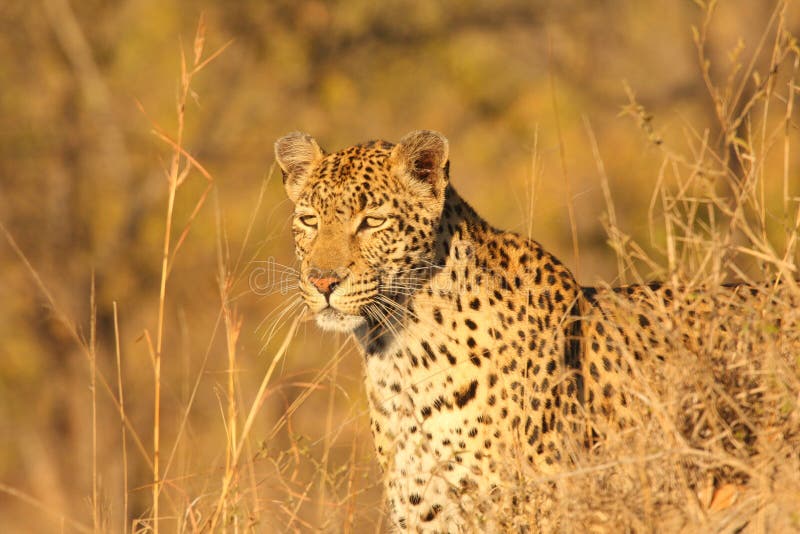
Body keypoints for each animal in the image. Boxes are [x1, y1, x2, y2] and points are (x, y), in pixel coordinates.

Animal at [274, 131, 792, 534]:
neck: (401, 354)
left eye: (373, 221)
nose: (322, 281)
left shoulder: (529, 507)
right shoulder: (425, 513)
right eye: (308, 220)